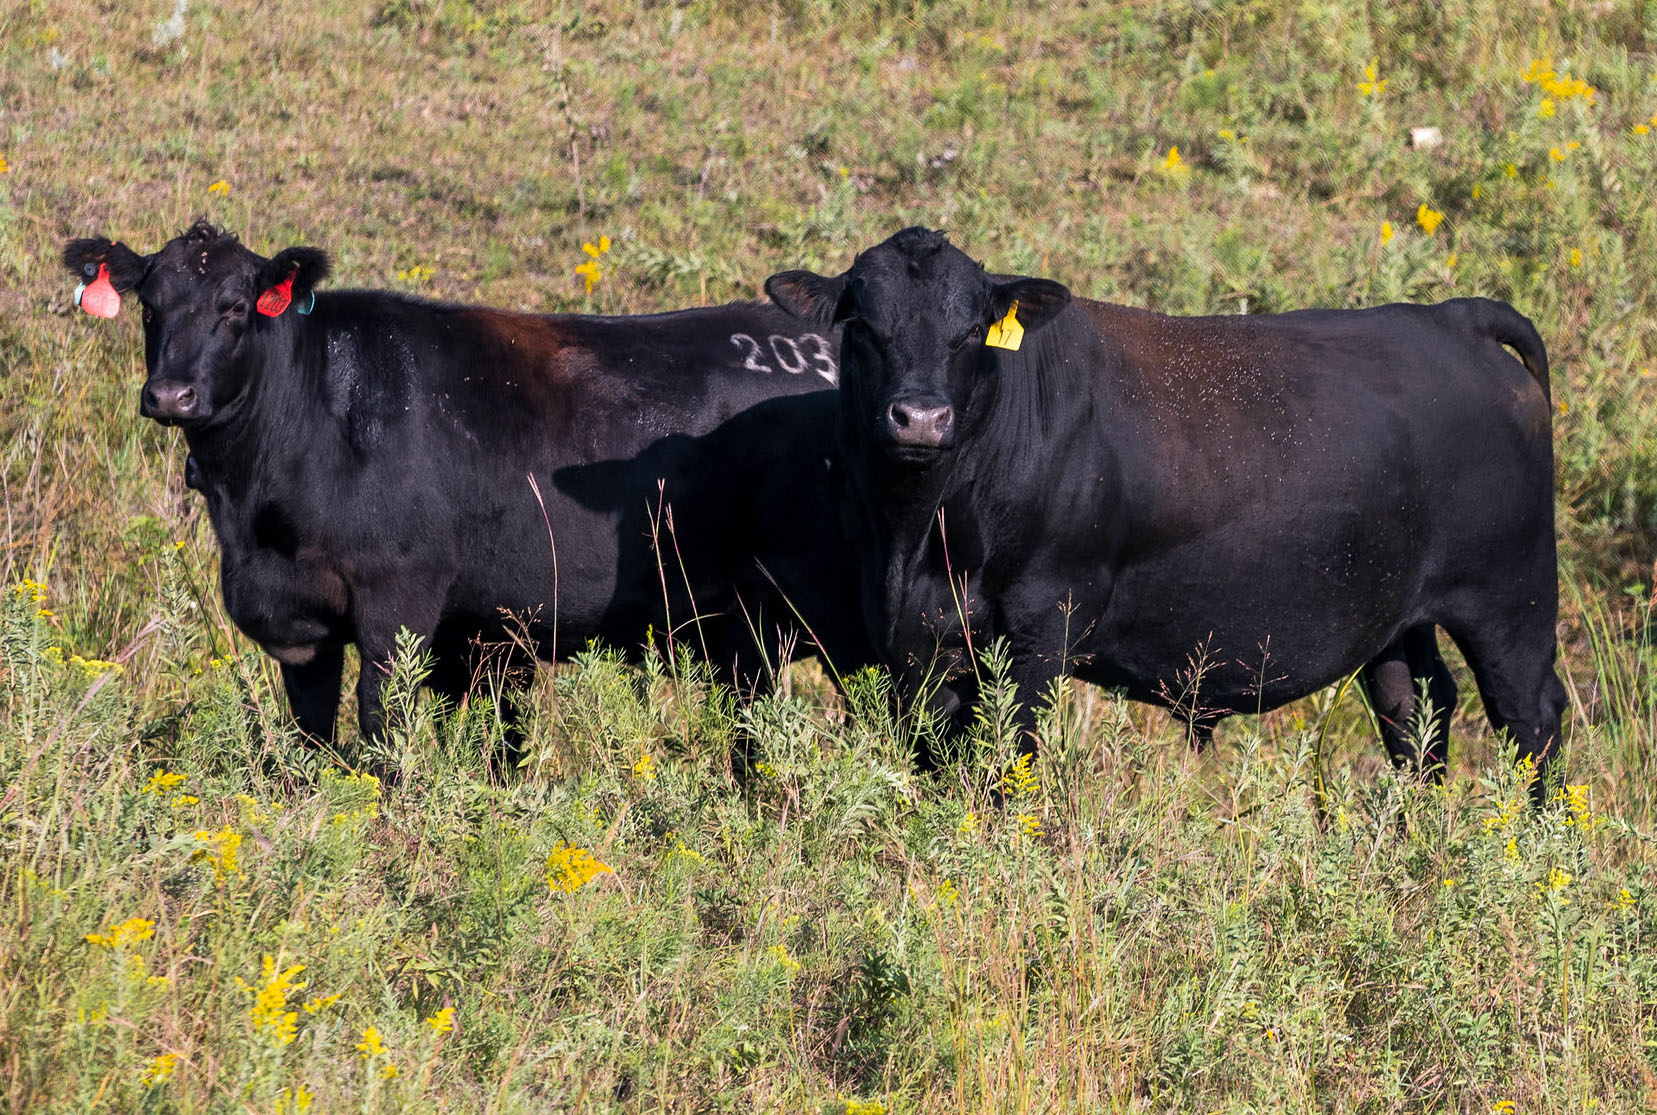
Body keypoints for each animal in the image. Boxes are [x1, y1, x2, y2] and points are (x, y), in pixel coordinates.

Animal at [63, 221, 866, 767]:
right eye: (149, 306)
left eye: (235, 307)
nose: (171, 394)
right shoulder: (306, 626)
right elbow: (313, 735)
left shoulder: (401, 597)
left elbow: (381, 724)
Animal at [766, 227, 1566, 796]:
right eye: (863, 328)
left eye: (969, 333)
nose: (921, 419)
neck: (922, 535)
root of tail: (1449, 318)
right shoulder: (911, 637)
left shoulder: (1038, 627)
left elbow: (1009, 754)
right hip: (1397, 616)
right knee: (1416, 713)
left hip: (1511, 598)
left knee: (1530, 716)